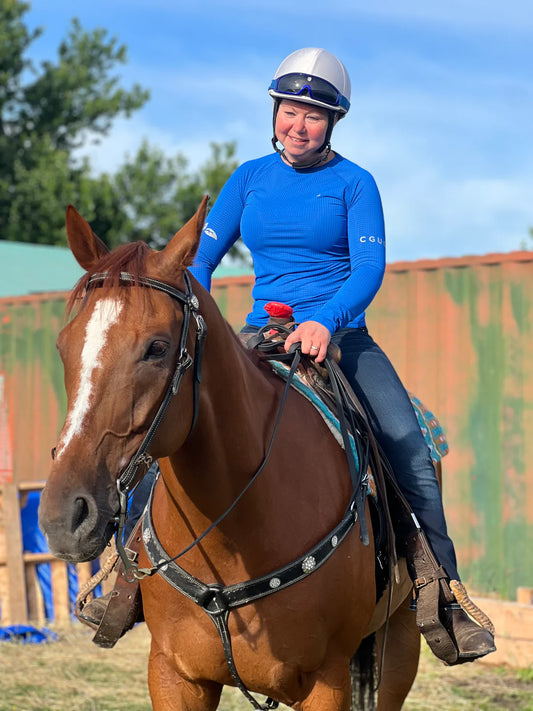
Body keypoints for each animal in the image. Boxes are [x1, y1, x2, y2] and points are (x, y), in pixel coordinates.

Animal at [38, 202, 420, 711]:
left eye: (157, 348)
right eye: (64, 345)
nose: (64, 517)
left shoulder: (328, 681)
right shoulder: (173, 674)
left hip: (400, 644)